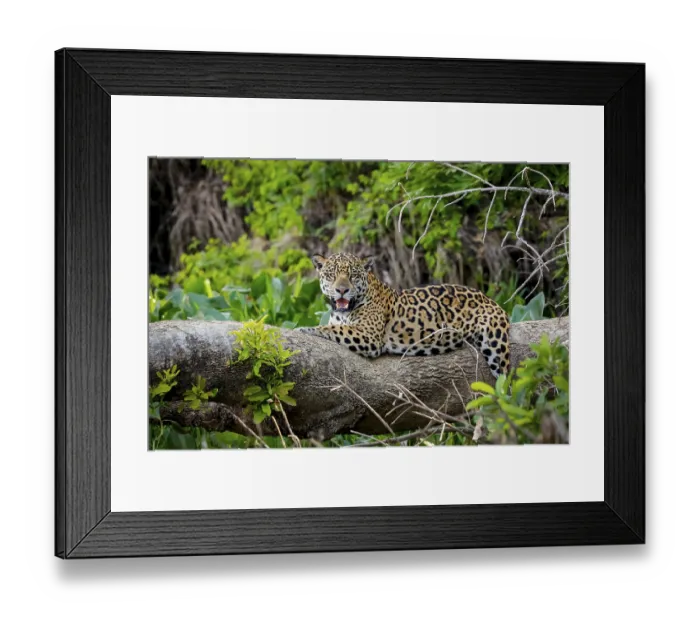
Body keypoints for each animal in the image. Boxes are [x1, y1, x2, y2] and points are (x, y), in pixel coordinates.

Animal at [296, 252, 511, 378]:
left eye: (353, 276)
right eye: (332, 275)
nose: (342, 290)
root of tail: (489, 298)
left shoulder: (368, 336)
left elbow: (331, 329)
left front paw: (304, 329)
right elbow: (334, 326)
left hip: (496, 346)